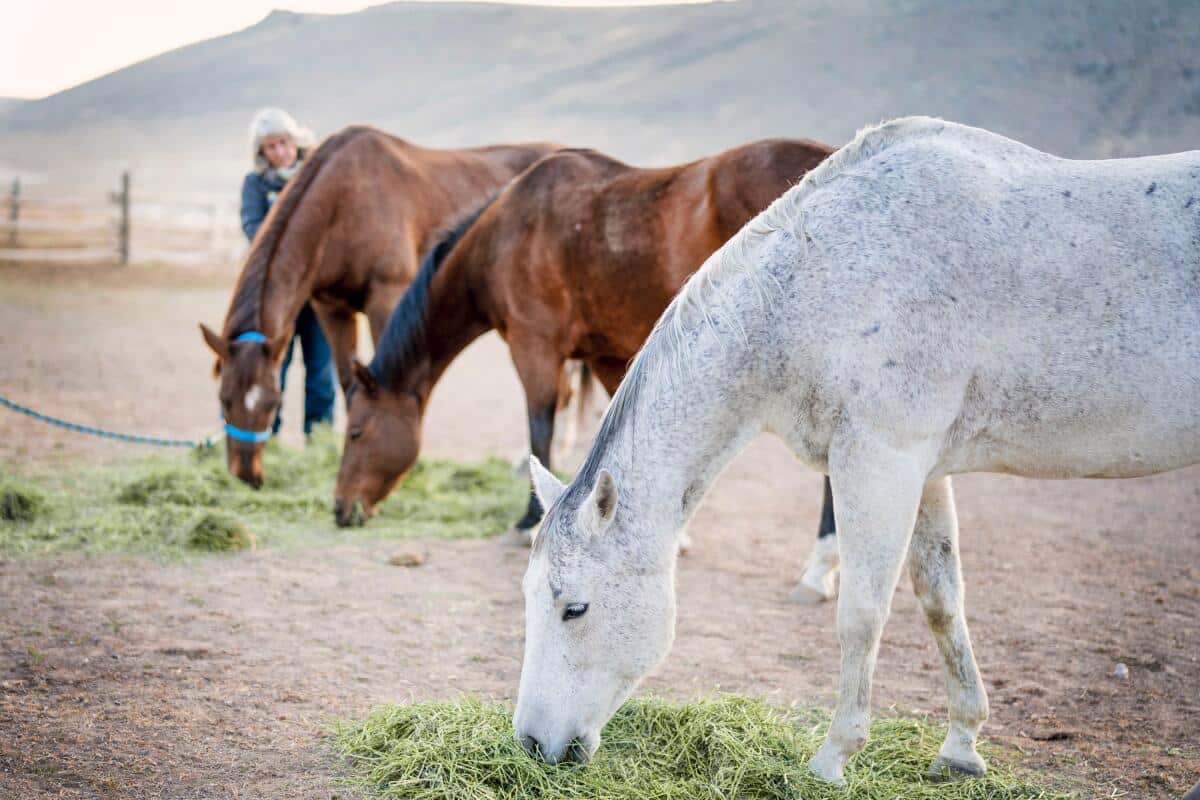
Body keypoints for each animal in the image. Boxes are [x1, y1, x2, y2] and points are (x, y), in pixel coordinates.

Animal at [198, 125, 559, 487]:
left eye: (272, 403)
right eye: (224, 399)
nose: (246, 474)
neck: (342, 202)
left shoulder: (387, 296)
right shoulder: (331, 309)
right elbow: (349, 382)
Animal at [331, 138, 834, 543]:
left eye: (356, 432)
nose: (339, 509)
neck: (507, 235)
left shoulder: (534, 348)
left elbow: (540, 429)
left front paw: (529, 520)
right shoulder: (606, 354)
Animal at [514, 117, 1200, 784]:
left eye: (575, 608)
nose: (530, 743)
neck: (816, 280)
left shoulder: (878, 464)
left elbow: (861, 614)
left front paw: (833, 757)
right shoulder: (923, 472)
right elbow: (942, 602)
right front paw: (961, 746)